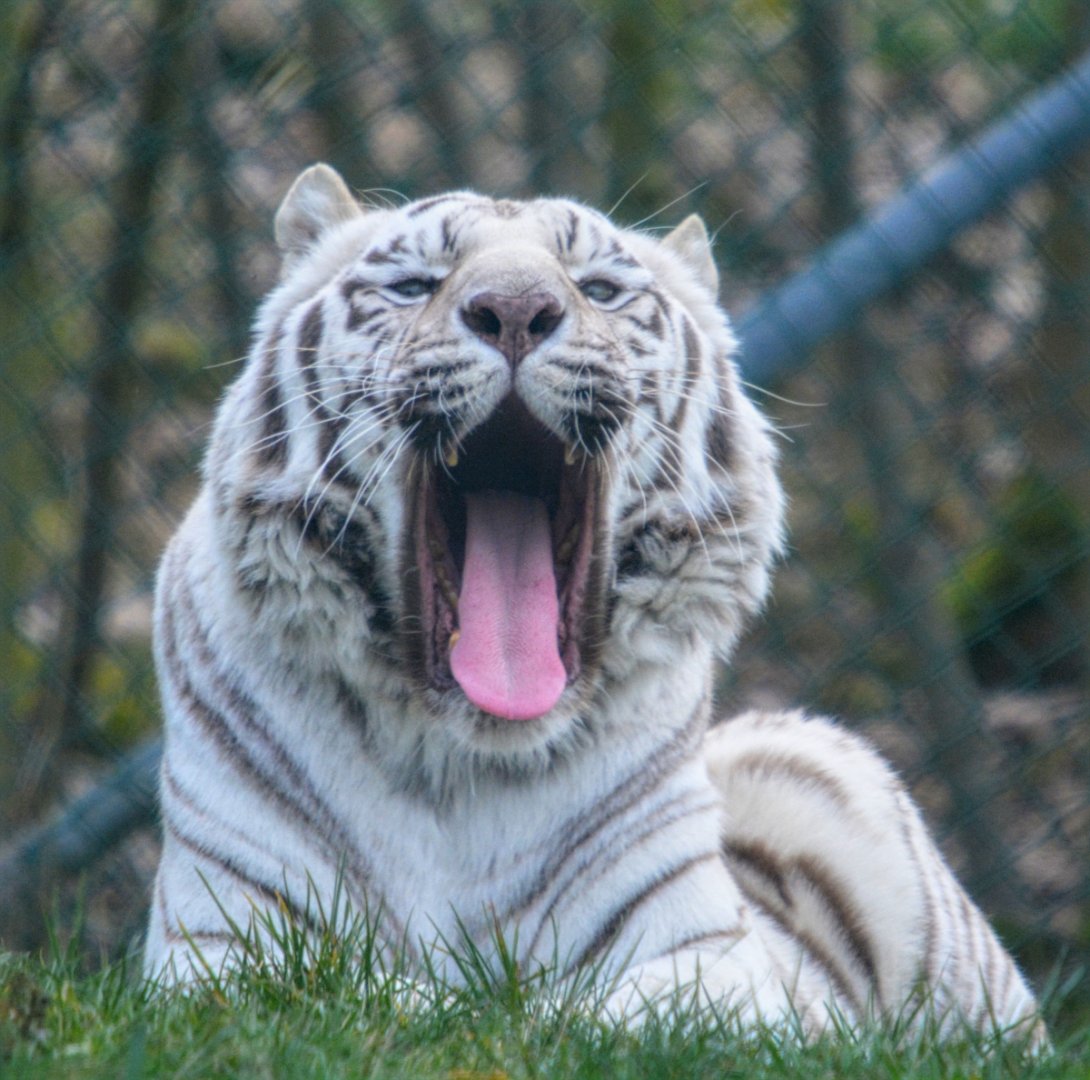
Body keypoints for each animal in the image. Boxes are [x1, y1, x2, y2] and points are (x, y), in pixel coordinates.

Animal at [144, 162, 1042, 1039]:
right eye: (413, 283)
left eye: (599, 289)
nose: (514, 310)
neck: (459, 763)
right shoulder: (212, 949)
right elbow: (327, 990)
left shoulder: (719, 962)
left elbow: (595, 1013)